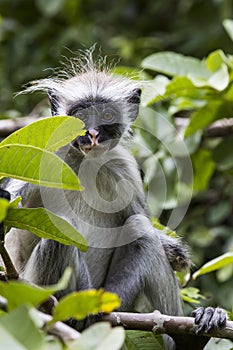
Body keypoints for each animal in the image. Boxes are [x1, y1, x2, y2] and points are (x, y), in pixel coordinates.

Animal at [1, 52, 228, 350]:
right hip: (39, 286)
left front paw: (175, 253)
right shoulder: (42, 153)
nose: (93, 133)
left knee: (139, 228)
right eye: (81, 116)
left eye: (107, 116)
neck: (86, 163)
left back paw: (184, 337)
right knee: (60, 230)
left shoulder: (124, 168)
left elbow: (142, 222)